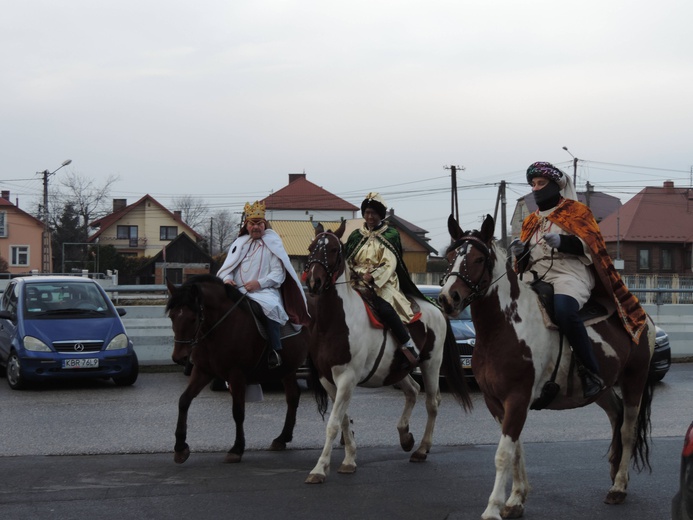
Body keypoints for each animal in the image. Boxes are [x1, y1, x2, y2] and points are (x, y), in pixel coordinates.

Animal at [165, 274, 308, 466]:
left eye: (193, 319)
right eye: (172, 317)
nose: (179, 357)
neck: (219, 328)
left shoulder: (237, 375)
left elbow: (238, 412)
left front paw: (237, 449)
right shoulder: (203, 371)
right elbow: (184, 401)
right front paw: (180, 447)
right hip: (288, 368)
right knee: (293, 396)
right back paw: (282, 438)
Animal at [302, 221, 470, 486]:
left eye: (333, 250)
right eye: (311, 249)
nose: (314, 282)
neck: (335, 322)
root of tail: (436, 308)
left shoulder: (347, 379)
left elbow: (333, 423)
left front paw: (319, 469)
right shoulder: (327, 379)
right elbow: (343, 420)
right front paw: (349, 460)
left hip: (431, 363)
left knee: (432, 402)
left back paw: (422, 449)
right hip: (396, 368)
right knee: (413, 390)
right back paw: (405, 437)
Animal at [438, 215, 656, 520]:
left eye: (479, 258)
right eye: (449, 256)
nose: (449, 298)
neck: (506, 326)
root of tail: (640, 315)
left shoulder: (517, 399)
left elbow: (503, 454)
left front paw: (493, 508)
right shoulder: (496, 403)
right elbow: (516, 449)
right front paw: (516, 500)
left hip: (634, 379)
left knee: (628, 429)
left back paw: (619, 486)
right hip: (602, 390)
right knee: (616, 416)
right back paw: (614, 474)